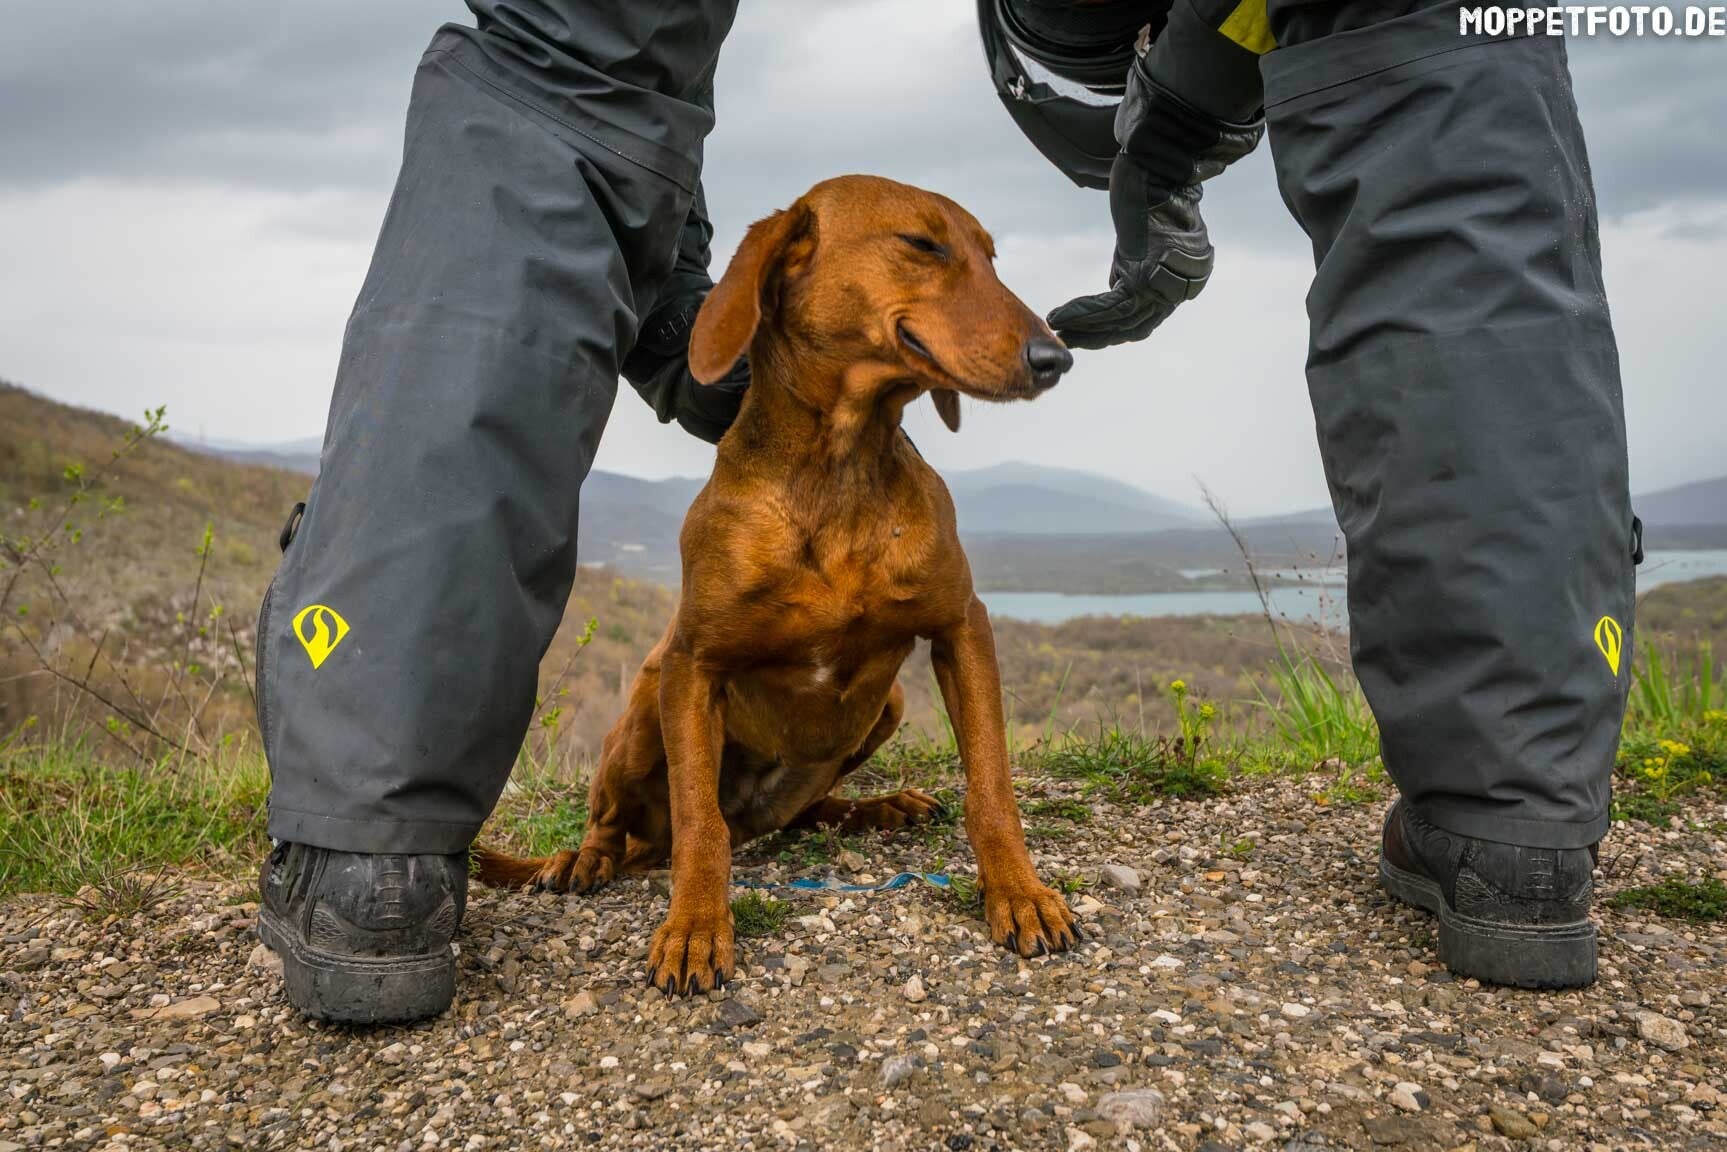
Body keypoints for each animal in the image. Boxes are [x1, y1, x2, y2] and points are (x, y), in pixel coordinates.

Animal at [474, 175, 1080, 995]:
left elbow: (990, 786)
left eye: (991, 255)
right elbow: (700, 823)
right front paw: (695, 928)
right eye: (922, 245)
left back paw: (878, 807)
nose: (1057, 357)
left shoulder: (962, 628)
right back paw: (580, 862)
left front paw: (1019, 891)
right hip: (643, 708)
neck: (839, 468)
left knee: (802, 814)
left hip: (881, 709)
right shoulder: (693, 665)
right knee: (624, 824)